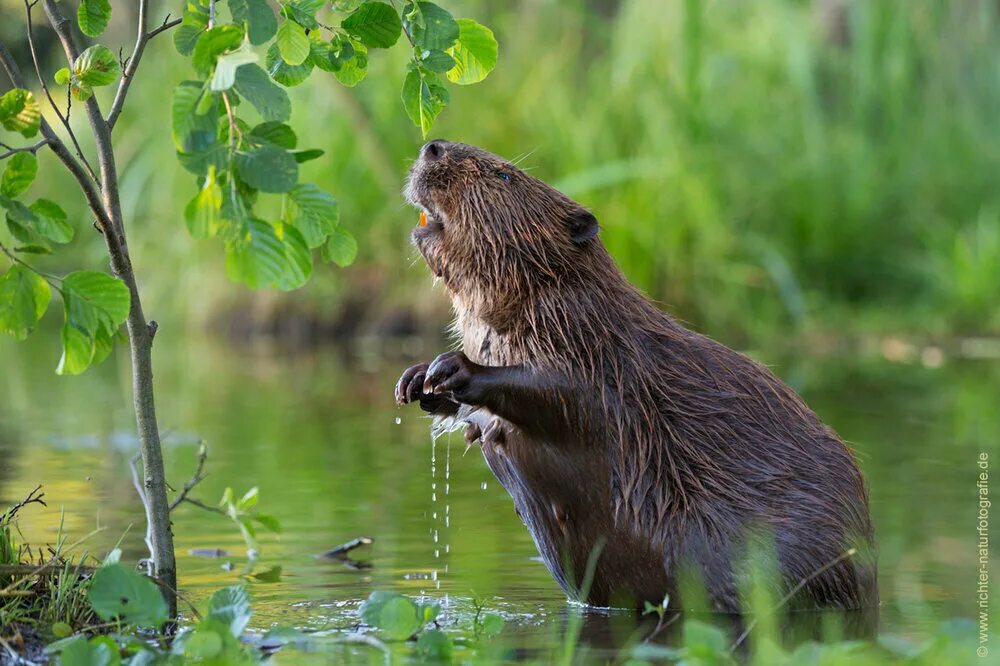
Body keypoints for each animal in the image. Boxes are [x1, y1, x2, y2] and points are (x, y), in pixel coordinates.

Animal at [390, 140, 876, 612]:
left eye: (505, 174)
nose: (433, 146)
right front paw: (416, 381)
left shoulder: (596, 344)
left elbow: (565, 395)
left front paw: (453, 367)